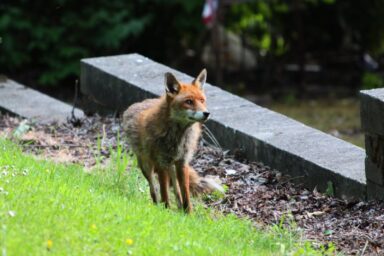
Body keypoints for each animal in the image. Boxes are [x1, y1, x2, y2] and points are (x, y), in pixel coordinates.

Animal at [123, 68, 224, 212]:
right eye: (189, 101)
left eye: (202, 100)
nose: (207, 113)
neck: (178, 138)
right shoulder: (161, 163)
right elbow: (164, 193)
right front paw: (164, 212)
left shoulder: (182, 163)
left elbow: (185, 194)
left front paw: (188, 214)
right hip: (147, 166)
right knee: (153, 190)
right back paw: (156, 206)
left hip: (171, 167)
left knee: (176, 192)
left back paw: (179, 208)